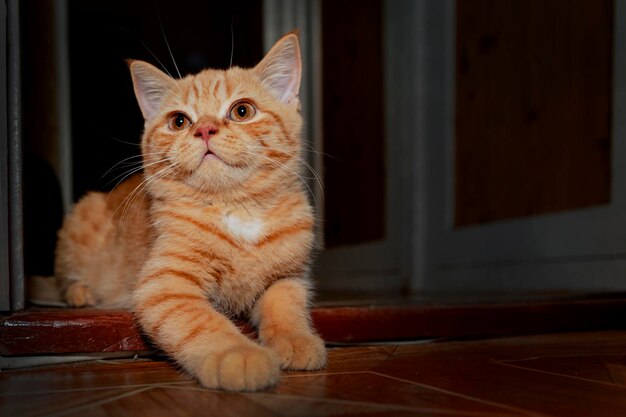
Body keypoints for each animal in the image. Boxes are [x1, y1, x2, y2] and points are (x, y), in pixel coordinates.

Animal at [54, 31, 326, 390]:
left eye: (242, 111)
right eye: (179, 121)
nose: (205, 129)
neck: (237, 209)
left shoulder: (288, 276)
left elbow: (287, 306)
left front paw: (296, 340)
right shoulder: (166, 286)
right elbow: (204, 323)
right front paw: (239, 355)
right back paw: (81, 293)